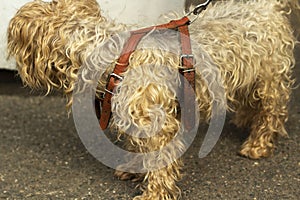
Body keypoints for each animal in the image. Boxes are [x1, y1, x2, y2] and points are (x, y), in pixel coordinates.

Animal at [6, 0, 298, 200]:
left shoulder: (157, 124)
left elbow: (159, 163)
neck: (112, 58)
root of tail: (266, 5)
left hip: (270, 77)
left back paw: (258, 143)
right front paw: (134, 168)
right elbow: (138, 149)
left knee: (272, 113)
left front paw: (154, 194)